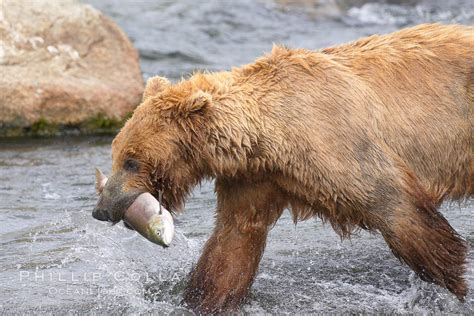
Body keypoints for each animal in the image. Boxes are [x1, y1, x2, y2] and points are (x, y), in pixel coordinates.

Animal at [93, 24, 474, 314]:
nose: (101, 209)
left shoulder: (341, 144)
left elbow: (399, 212)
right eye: (116, 154)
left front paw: (453, 287)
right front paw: (203, 299)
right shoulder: (255, 179)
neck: (270, 139)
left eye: (132, 160)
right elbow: (232, 243)